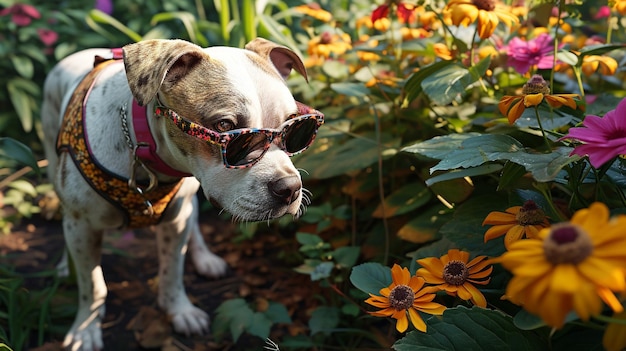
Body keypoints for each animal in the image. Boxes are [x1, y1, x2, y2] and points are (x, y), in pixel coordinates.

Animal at [40, 37, 322, 350]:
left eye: (296, 126)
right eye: (225, 126)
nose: (289, 188)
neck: (143, 150)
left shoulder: (176, 222)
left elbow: (173, 268)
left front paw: (179, 310)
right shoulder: (83, 226)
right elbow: (92, 285)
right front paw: (85, 330)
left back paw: (204, 257)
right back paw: (65, 265)